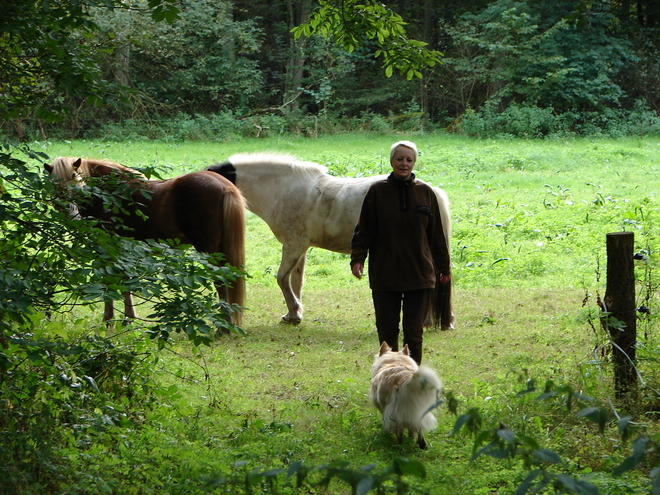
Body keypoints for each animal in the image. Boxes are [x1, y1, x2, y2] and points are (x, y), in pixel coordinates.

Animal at [45, 155, 248, 326]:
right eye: (55, 185)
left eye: (76, 178)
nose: (72, 214)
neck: (108, 194)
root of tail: (223, 184)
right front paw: (127, 318)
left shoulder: (108, 247)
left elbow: (112, 280)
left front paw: (111, 319)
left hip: (208, 249)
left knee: (220, 281)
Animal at [206, 153, 454, 328]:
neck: (284, 189)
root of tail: (432, 192)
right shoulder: (301, 247)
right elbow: (296, 281)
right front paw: (294, 314)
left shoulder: (293, 245)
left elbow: (281, 278)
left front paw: (294, 311)